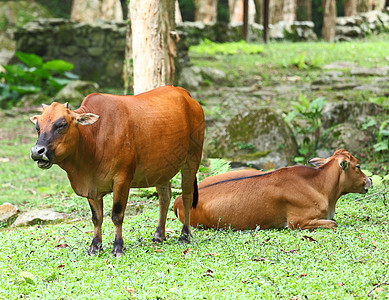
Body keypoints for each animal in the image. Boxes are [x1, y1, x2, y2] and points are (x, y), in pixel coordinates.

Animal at [30, 85, 205, 256]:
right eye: (38, 127)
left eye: (62, 124)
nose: (37, 151)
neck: (94, 138)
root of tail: (185, 94)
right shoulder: (91, 187)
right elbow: (96, 218)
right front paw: (95, 247)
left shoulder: (122, 179)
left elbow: (116, 215)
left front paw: (118, 247)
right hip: (162, 169)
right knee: (164, 197)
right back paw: (158, 235)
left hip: (192, 158)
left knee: (187, 196)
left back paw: (185, 235)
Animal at [174, 149, 372, 230]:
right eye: (358, 166)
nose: (369, 180)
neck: (319, 185)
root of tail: (178, 200)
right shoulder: (297, 222)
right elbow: (333, 223)